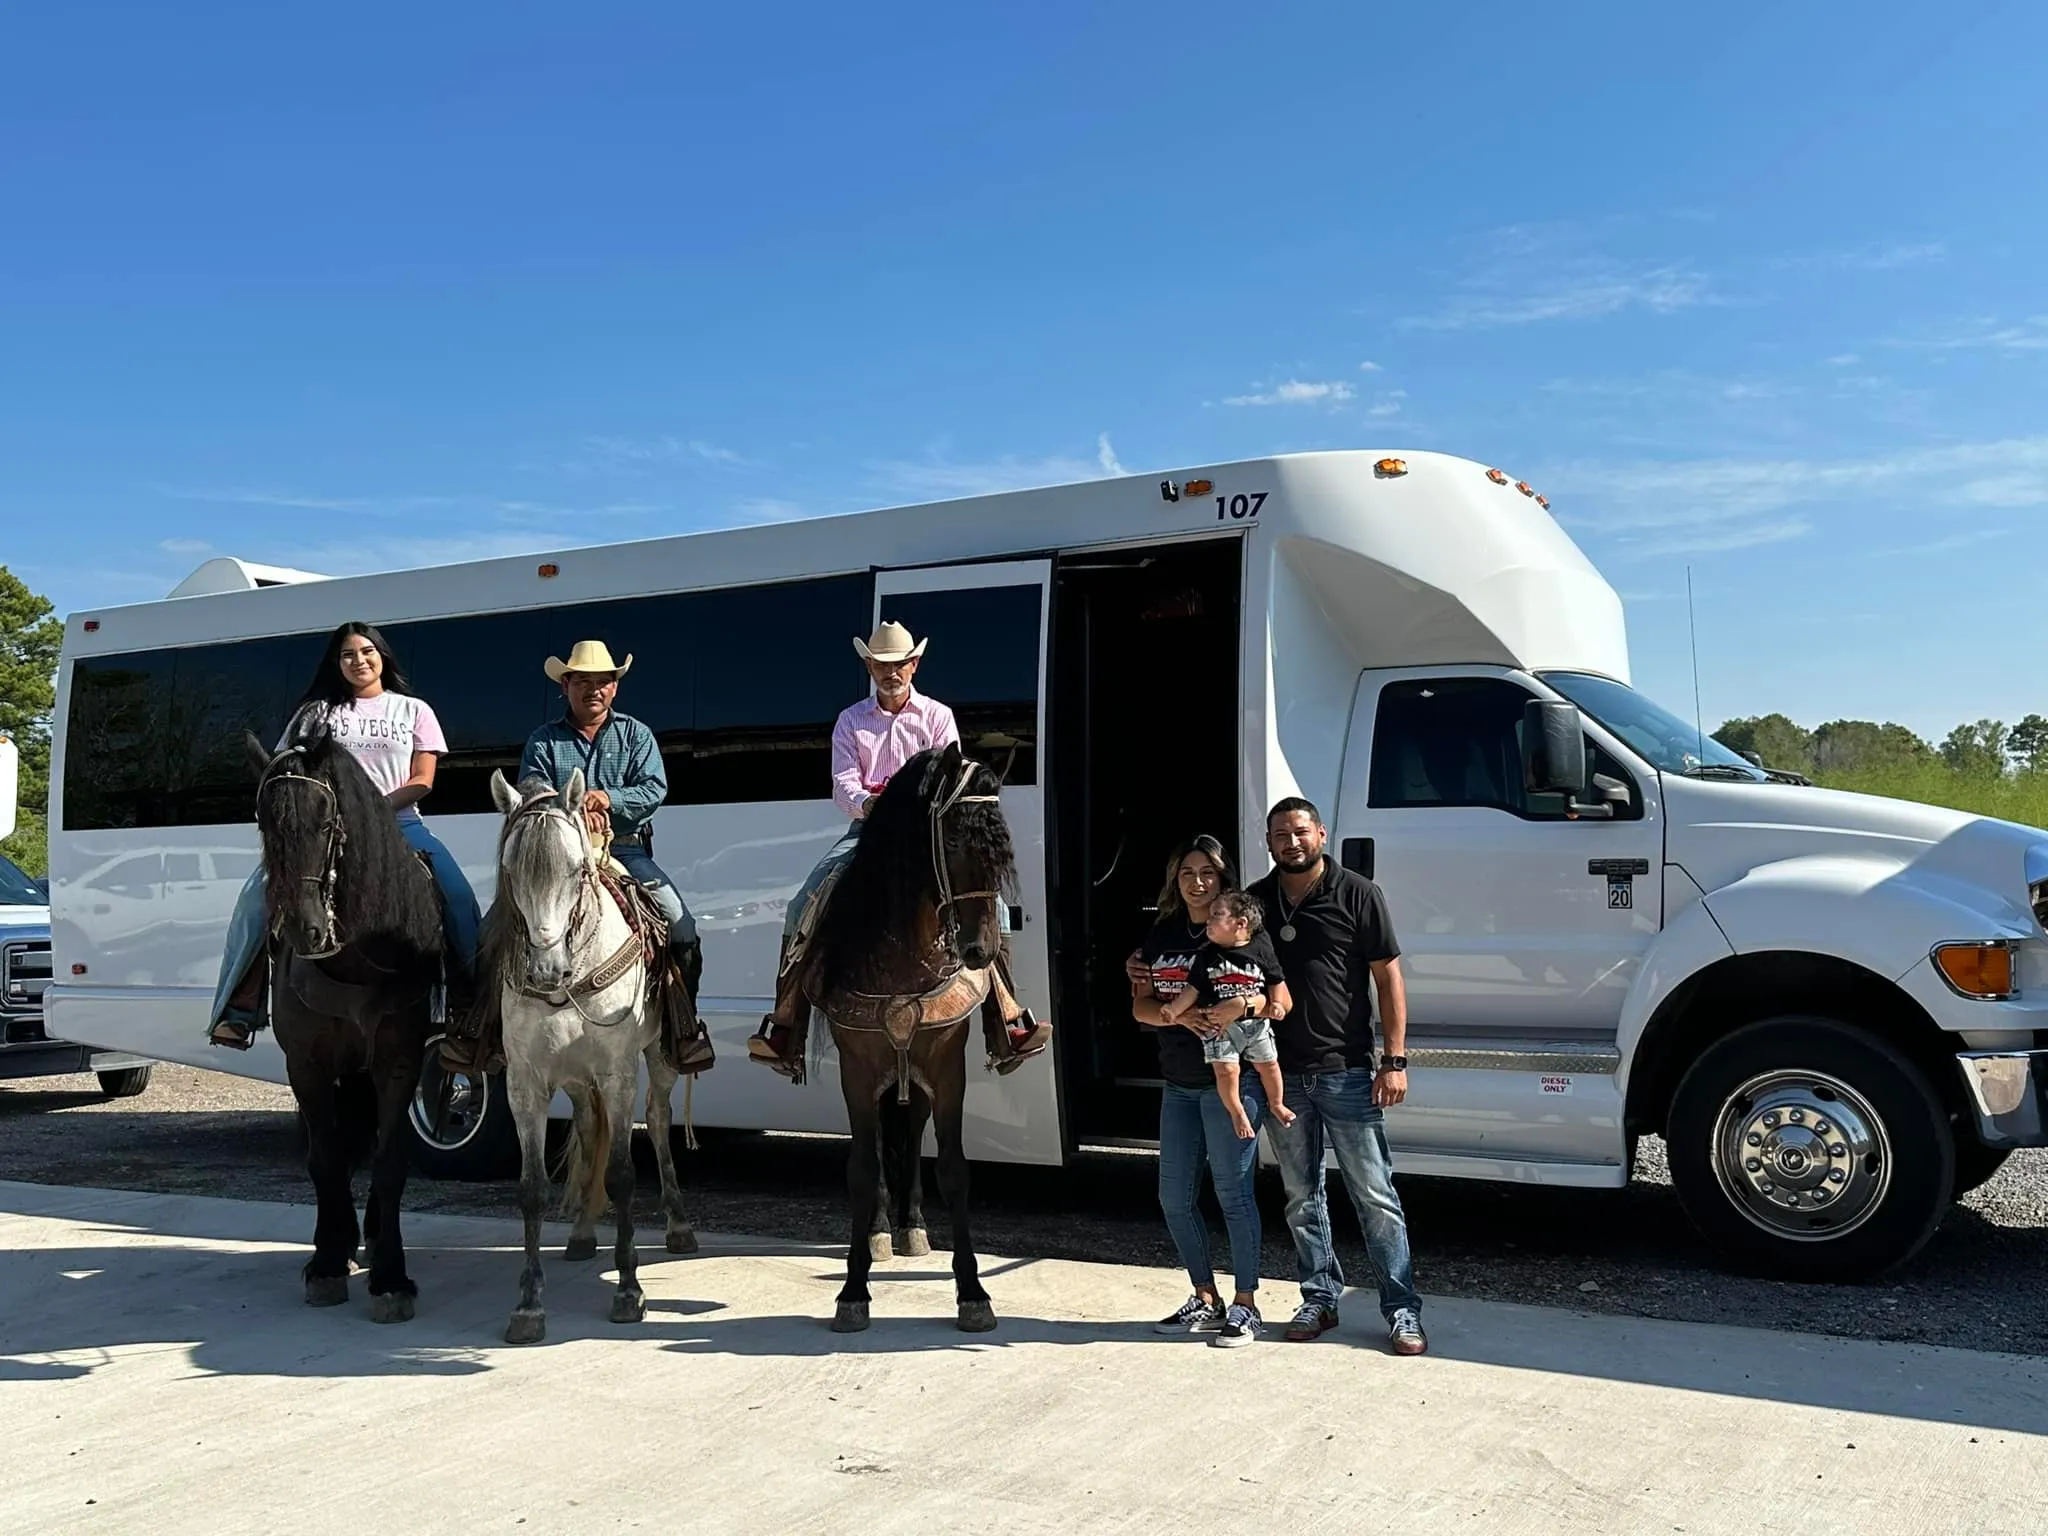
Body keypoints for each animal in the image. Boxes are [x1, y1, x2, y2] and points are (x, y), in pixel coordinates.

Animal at [244, 729, 444, 1327]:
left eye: (327, 820)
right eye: (264, 822)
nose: (301, 927)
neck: (356, 960)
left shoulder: (399, 1061)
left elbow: (390, 1160)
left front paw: (392, 1278)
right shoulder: (306, 1065)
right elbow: (325, 1159)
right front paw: (328, 1263)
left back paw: (375, 1238)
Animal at [485, 770, 696, 1343]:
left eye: (577, 869)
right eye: (509, 870)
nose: (545, 971)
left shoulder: (619, 1072)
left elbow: (623, 1172)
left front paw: (629, 1291)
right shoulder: (525, 1082)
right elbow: (532, 1187)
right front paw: (528, 1304)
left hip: (660, 1060)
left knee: (660, 1120)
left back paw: (679, 1226)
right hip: (577, 1078)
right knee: (585, 1125)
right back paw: (580, 1236)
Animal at [802, 745, 1019, 1335]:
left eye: (1002, 846)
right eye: (952, 841)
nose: (981, 950)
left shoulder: (947, 1066)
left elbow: (954, 1169)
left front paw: (973, 1295)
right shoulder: (857, 1069)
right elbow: (860, 1168)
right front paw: (853, 1292)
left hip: (914, 1076)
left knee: (911, 1129)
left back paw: (911, 1227)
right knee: (878, 1143)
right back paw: (881, 1231)